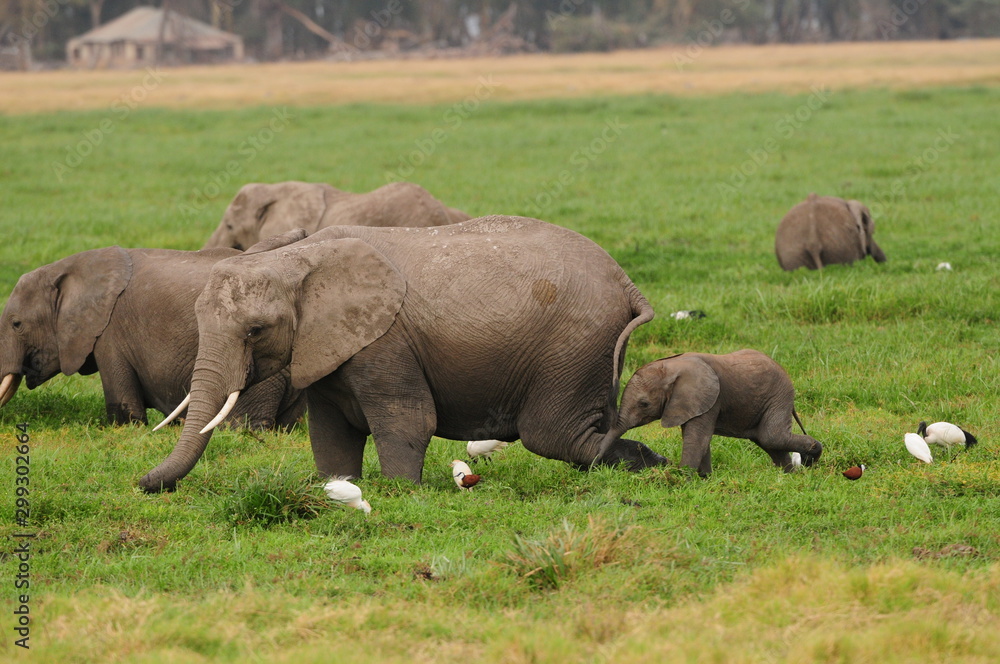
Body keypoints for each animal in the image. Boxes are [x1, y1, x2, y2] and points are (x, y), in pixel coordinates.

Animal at [138, 216, 669, 492]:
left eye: (255, 330)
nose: (142, 483)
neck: (298, 256)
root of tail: (627, 281)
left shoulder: (385, 339)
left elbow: (407, 419)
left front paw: (400, 493)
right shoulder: (328, 344)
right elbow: (330, 430)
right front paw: (337, 488)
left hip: (572, 346)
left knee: (555, 435)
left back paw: (652, 465)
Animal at [598, 349, 822, 476]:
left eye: (643, 404)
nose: (595, 464)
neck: (671, 367)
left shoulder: (709, 398)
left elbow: (697, 437)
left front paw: (680, 479)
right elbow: (698, 438)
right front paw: (703, 478)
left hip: (778, 397)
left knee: (771, 437)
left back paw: (812, 458)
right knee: (767, 441)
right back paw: (790, 475)